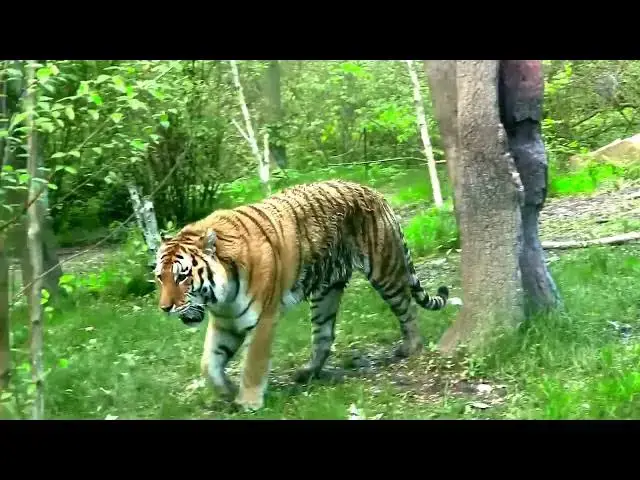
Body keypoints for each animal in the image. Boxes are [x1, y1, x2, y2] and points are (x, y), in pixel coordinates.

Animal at [154, 179, 450, 411]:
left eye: (182, 276)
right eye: (160, 277)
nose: (164, 308)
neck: (220, 297)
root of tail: (373, 191)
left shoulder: (263, 320)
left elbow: (253, 364)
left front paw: (248, 402)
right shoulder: (225, 322)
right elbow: (208, 363)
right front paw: (226, 391)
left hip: (384, 270)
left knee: (407, 308)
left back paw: (412, 347)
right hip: (326, 293)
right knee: (325, 335)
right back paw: (308, 372)